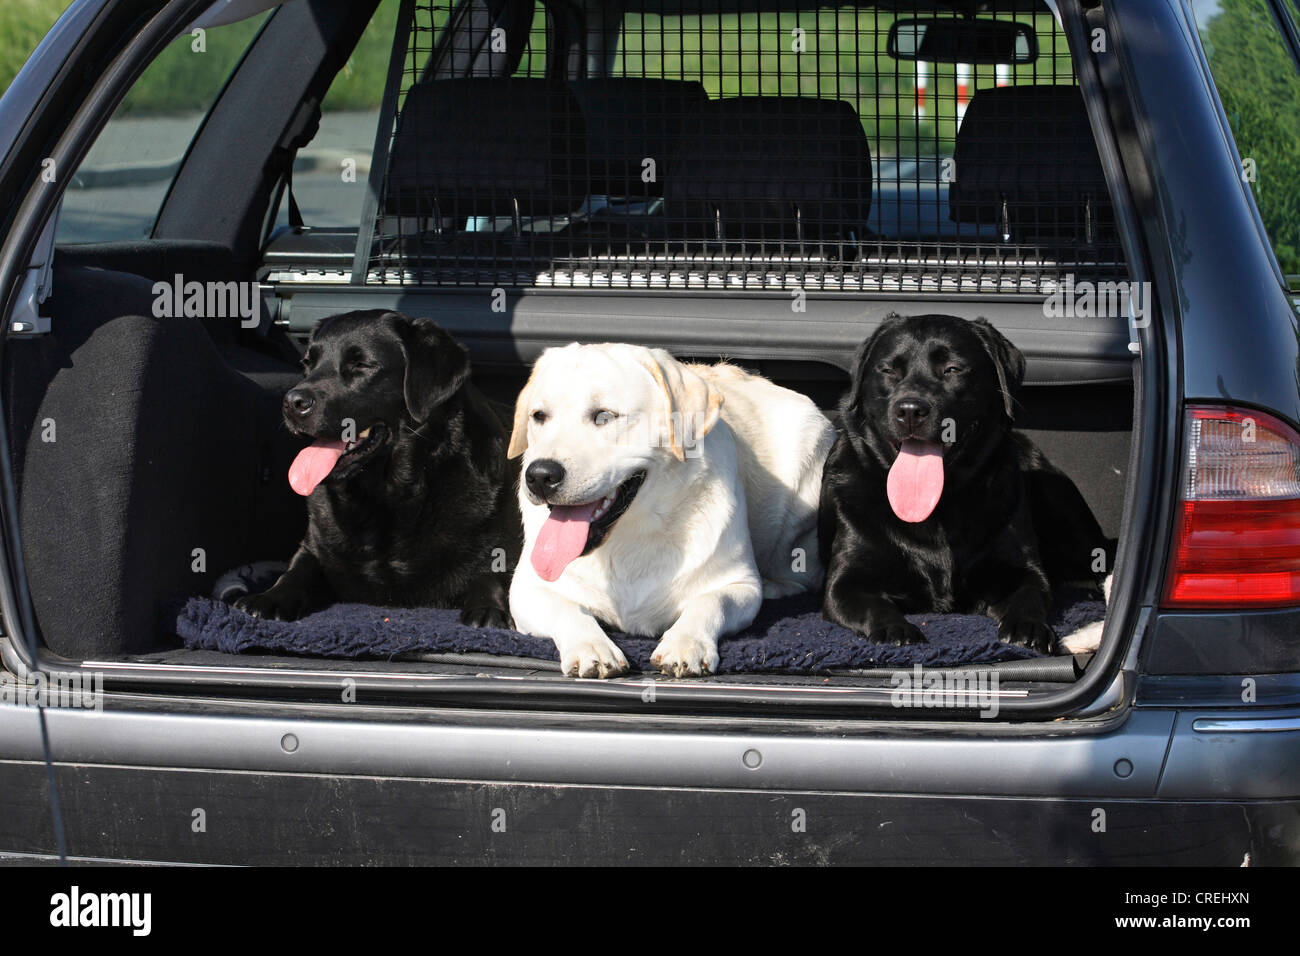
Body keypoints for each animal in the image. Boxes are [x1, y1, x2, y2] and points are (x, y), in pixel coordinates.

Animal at [236, 310, 520, 629]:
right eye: (307, 364)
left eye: (361, 365)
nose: (291, 402)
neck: (388, 497)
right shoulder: (315, 546)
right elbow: (297, 569)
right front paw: (270, 597)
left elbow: (490, 574)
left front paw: (487, 608)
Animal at [506, 343, 832, 681]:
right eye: (539, 416)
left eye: (604, 416)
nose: (540, 475)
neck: (632, 534)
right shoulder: (526, 590)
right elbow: (567, 609)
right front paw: (591, 646)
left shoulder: (738, 585)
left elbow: (710, 602)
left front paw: (686, 643)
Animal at [821, 312, 1107, 650]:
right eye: (889, 370)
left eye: (952, 369)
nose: (910, 410)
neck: (937, 506)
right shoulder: (845, 581)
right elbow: (870, 602)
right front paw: (895, 630)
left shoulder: (1022, 568)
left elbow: (1030, 593)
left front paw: (1026, 627)